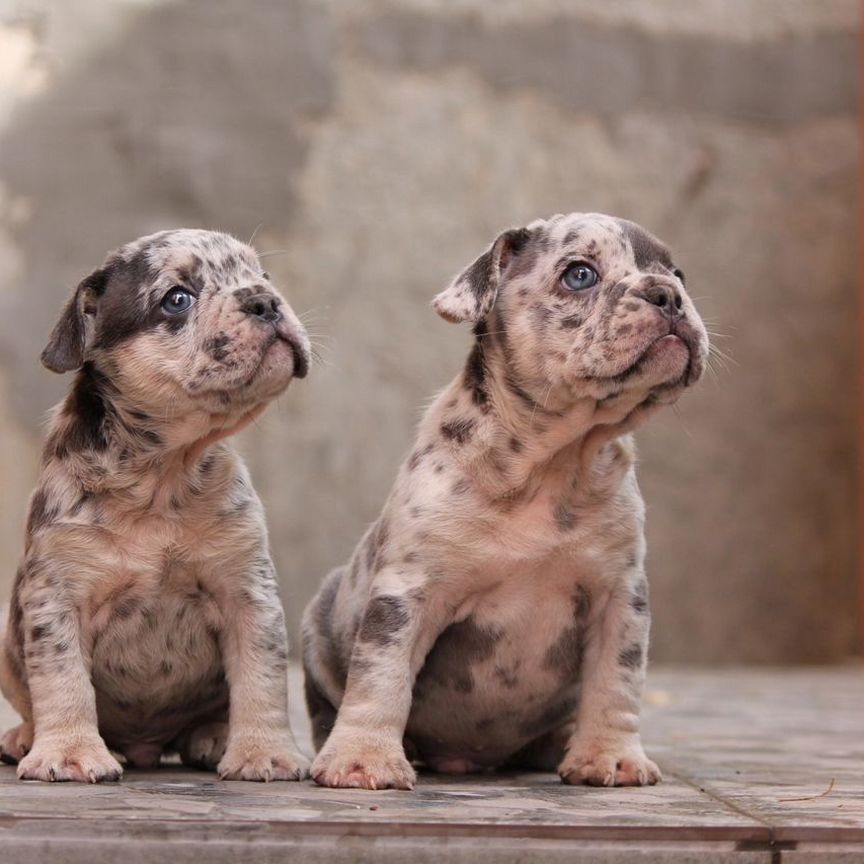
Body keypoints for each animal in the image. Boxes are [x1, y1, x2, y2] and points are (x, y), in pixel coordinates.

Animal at [0, 230, 310, 784]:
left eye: (263, 277)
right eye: (177, 299)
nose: (265, 301)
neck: (161, 475)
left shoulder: (248, 596)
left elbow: (262, 678)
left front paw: (264, 751)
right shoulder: (57, 598)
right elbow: (62, 680)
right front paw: (69, 752)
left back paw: (214, 735)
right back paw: (26, 738)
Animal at [304, 211, 708, 788]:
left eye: (679, 275)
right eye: (580, 275)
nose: (668, 295)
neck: (553, 461)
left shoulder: (620, 598)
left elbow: (617, 680)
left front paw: (610, 757)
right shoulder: (407, 595)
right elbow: (380, 675)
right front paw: (363, 759)